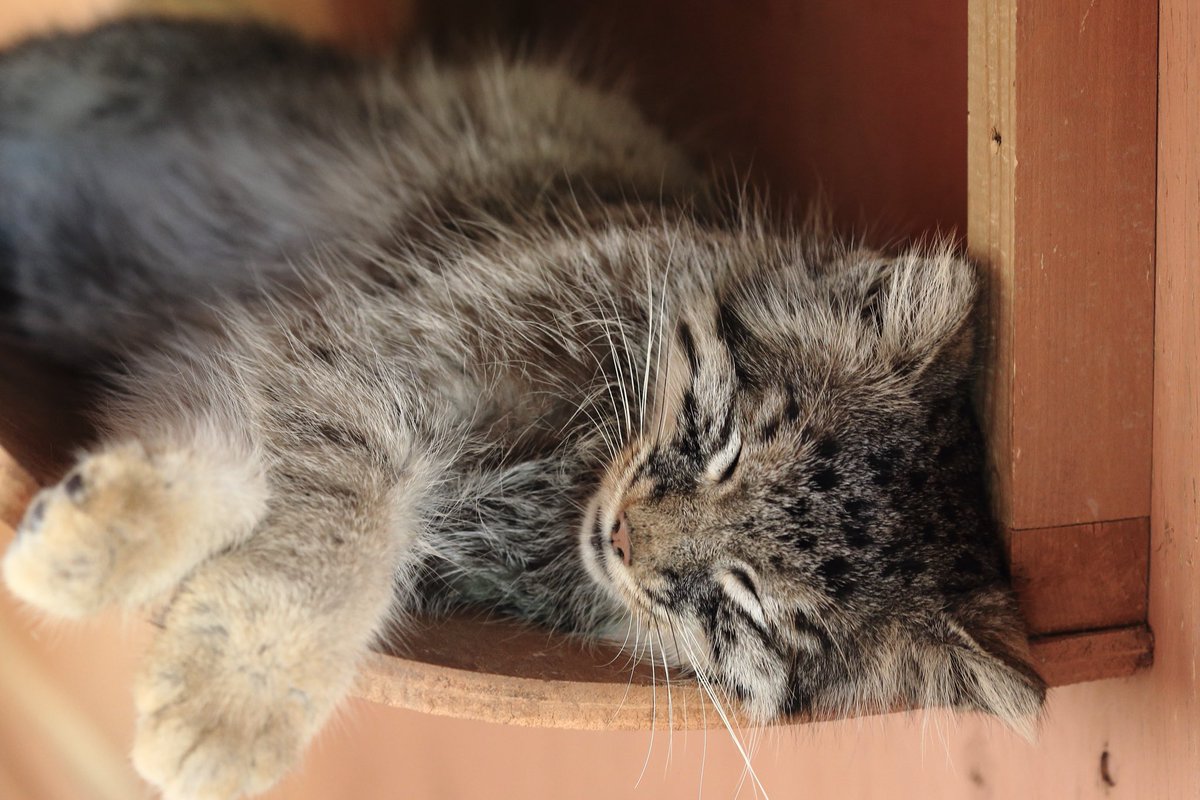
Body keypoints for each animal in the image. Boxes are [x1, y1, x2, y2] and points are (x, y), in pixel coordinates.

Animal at [0, 18, 1041, 800]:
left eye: (746, 602)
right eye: (726, 443)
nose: (625, 538)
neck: (577, 466)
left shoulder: (331, 373)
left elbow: (296, 507)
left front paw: (197, 664)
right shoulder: (375, 340)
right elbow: (334, 524)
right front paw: (221, 682)